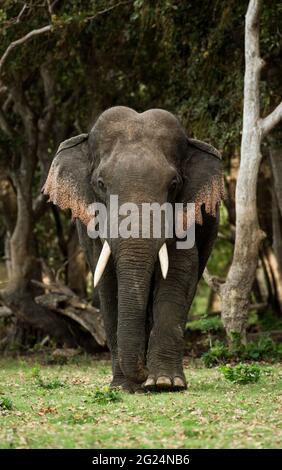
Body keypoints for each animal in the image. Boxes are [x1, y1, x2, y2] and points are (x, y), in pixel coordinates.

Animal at [43, 105, 225, 392]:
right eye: (101, 184)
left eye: (174, 184)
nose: (143, 371)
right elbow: (107, 281)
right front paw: (123, 387)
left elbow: (179, 271)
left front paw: (164, 383)